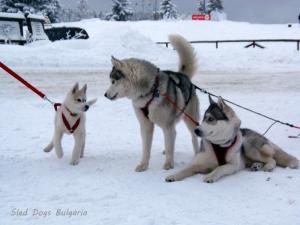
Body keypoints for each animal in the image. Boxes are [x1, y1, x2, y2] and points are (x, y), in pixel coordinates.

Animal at [104, 34, 200, 171]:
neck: (150, 91)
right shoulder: (146, 125)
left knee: (193, 137)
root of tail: (183, 75)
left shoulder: (167, 126)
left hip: (190, 119)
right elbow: (146, 148)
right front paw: (143, 165)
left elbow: (170, 145)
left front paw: (169, 164)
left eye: (113, 81)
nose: (105, 95)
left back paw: (197, 153)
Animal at [165, 96, 298, 183]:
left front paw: (210, 176)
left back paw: (267, 166)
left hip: (248, 145)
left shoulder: (232, 165)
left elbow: (219, 167)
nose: (196, 130)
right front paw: (174, 175)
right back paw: (256, 166)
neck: (219, 144)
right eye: (203, 119)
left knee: (272, 159)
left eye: (211, 119)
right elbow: (185, 169)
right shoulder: (198, 164)